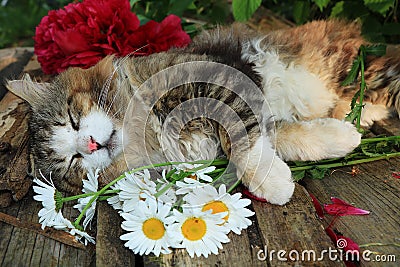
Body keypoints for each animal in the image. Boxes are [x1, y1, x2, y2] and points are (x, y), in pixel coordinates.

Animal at [6, 20, 400, 205]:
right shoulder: (254, 113)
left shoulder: (219, 81)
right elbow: (284, 136)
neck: (145, 131)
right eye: (72, 164)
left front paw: (271, 183)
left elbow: (242, 141)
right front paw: (340, 140)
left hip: (360, 67)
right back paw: (360, 115)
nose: (88, 146)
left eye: (72, 117)